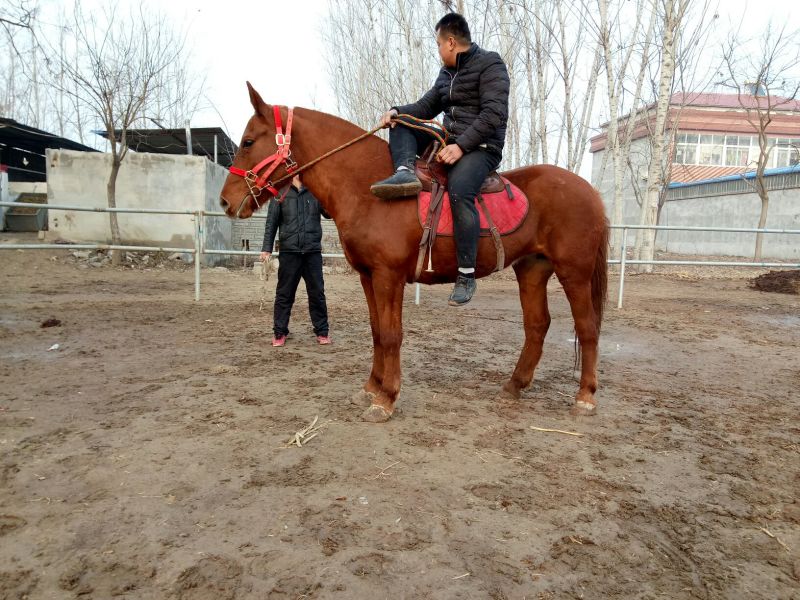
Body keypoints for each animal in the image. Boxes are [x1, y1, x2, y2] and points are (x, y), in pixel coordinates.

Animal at [220, 83, 609, 423]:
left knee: (587, 327)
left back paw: (585, 397)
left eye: (249, 141)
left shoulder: (388, 276)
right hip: (532, 270)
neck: (368, 188)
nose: (225, 201)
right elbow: (378, 331)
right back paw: (515, 385)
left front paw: (387, 398)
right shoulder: (368, 276)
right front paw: (371, 387)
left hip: (574, 272)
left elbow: (392, 334)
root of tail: (589, 190)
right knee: (537, 326)